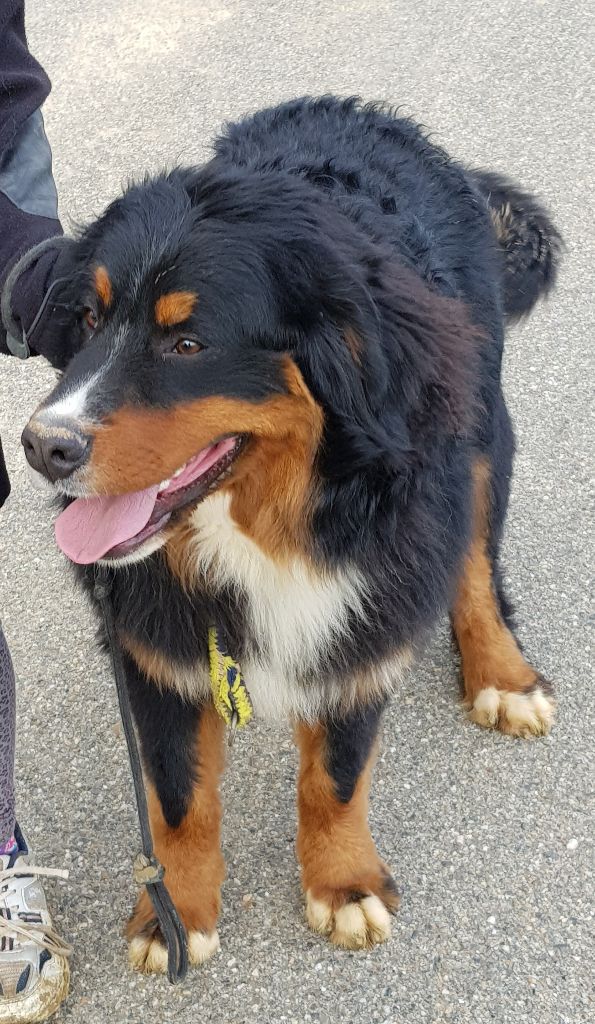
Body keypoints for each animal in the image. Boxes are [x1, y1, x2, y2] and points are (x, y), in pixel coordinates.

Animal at [21, 96, 561, 970]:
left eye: (187, 343)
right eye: (90, 318)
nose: (43, 447)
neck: (263, 527)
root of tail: (359, 113)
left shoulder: (363, 615)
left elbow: (335, 775)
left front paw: (343, 884)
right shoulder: (153, 637)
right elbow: (178, 795)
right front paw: (174, 913)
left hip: (478, 430)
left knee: (475, 564)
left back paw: (502, 677)